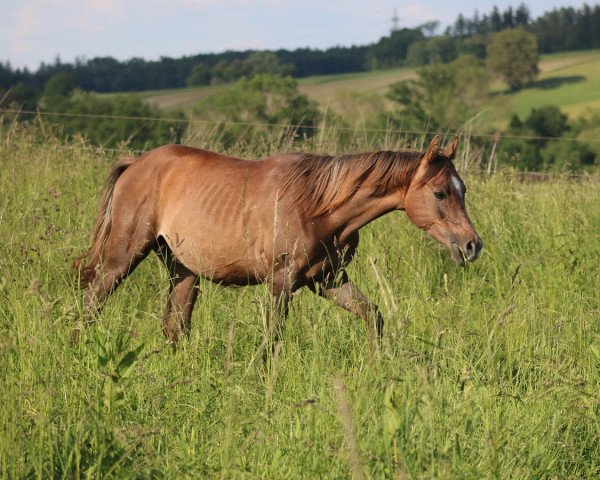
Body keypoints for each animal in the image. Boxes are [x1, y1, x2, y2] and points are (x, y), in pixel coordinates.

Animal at [74, 135, 482, 348]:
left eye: (462, 189)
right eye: (441, 193)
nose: (472, 245)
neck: (318, 205)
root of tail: (134, 164)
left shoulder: (328, 280)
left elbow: (373, 317)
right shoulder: (281, 283)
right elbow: (272, 340)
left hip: (183, 270)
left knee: (175, 326)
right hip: (124, 256)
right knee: (93, 301)